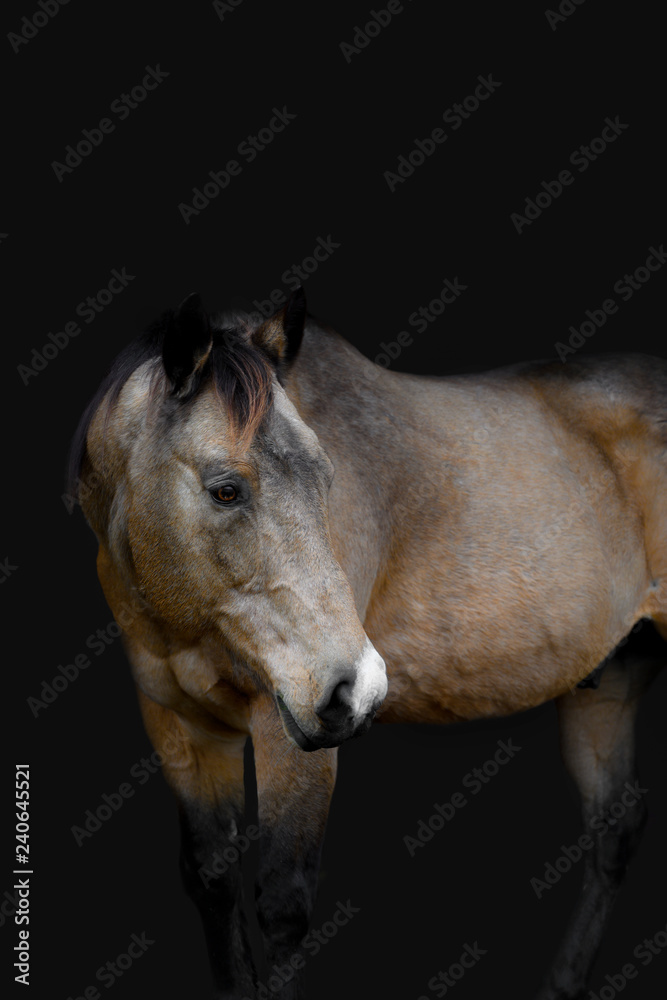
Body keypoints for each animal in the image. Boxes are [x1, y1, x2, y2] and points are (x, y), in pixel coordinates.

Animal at [69, 286, 667, 1000]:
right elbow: (213, 885)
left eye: (327, 479)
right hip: (610, 681)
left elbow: (282, 908)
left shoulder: (289, 734)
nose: (359, 687)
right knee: (615, 832)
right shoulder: (181, 728)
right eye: (225, 489)